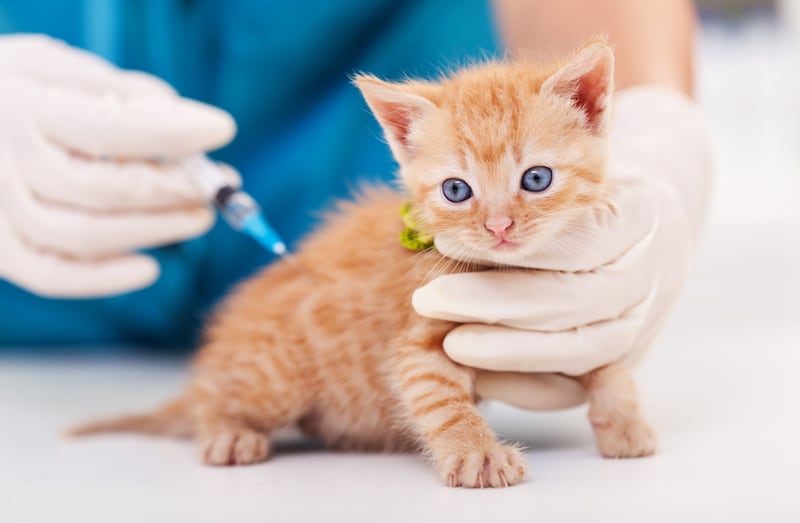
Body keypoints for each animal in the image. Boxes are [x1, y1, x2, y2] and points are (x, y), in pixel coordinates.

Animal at [72, 39, 652, 490]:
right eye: (456, 190)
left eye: (536, 179)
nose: (499, 228)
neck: (513, 275)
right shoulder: (415, 344)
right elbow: (443, 400)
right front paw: (476, 452)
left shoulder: (578, 311)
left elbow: (609, 361)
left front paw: (624, 422)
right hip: (275, 376)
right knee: (211, 403)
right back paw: (226, 431)